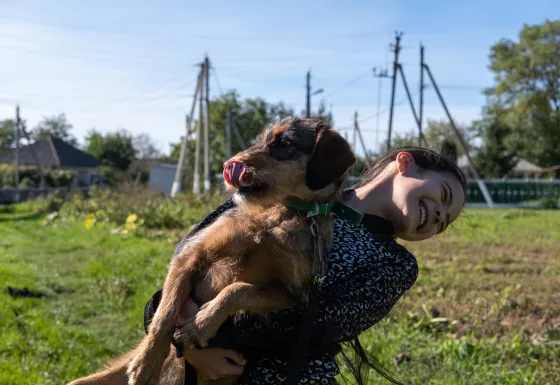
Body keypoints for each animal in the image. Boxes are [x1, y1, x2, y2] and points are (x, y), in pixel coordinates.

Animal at [66, 117, 354, 384]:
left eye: (284, 143)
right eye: (258, 140)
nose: (230, 163)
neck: (280, 213)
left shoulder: (293, 292)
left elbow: (237, 289)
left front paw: (200, 325)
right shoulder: (189, 256)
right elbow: (165, 315)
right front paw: (147, 361)